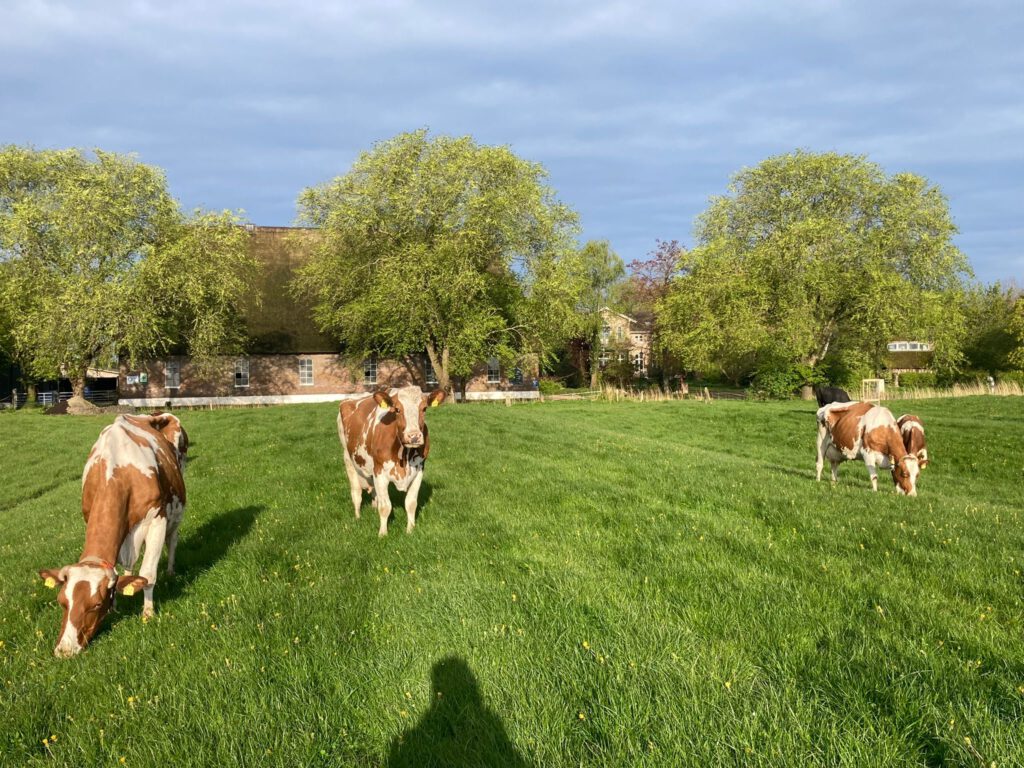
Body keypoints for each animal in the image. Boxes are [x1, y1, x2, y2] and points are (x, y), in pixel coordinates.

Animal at [37, 411, 187, 659]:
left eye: (96, 604)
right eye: (61, 601)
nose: (65, 650)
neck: (118, 470)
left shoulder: (156, 519)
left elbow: (148, 574)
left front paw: (148, 613)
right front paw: (117, 602)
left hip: (176, 505)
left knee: (172, 540)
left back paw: (171, 570)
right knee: (131, 562)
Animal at [337, 387, 446, 536]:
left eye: (424, 408)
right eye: (397, 409)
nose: (413, 436)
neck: (404, 457)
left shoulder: (419, 471)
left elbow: (411, 503)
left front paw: (410, 529)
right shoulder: (379, 472)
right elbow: (385, 507)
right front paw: (383, 534)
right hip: (348, 457)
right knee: (356, 493)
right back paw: (358, 517)